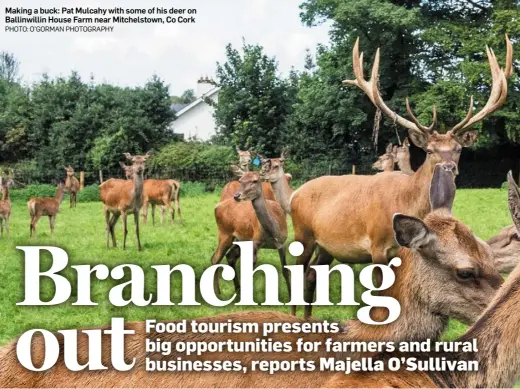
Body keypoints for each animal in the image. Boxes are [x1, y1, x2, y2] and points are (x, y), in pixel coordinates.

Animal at [212, 166, 292, 294]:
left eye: (255, 181)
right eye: (241, 180)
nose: (237, 196)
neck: (272, 232)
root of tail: (217, 206)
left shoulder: (282, 243)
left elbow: (285, 271)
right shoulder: (255, 242)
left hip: (240, 239)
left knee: (230, 256)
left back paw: (237, 288)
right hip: (225, 233)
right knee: (215, 259)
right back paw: (218, 291)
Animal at [280, 34, 512, 316]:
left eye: (458, 149)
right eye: (430, 150)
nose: (449, 167)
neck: (407, 201)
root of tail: (295, 195)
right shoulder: (377, 246)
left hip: (327, 246)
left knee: (312, 275)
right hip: (303, 233)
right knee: (298, 270)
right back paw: (291, 316)